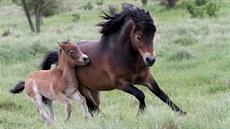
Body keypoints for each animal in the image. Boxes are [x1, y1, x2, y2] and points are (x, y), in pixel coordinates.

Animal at [38, 3, 186, 116]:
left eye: (153, 34)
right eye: (138, 37)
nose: (150, 59)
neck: (124, 56)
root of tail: (59, 56)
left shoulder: (147, 78)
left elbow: (162, 95)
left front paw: (182, 113)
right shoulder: (121, 84)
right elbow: (140, 94)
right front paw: (140, 114)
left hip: (94, 91)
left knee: (93, 107)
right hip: (82, 90)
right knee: (92, 106)